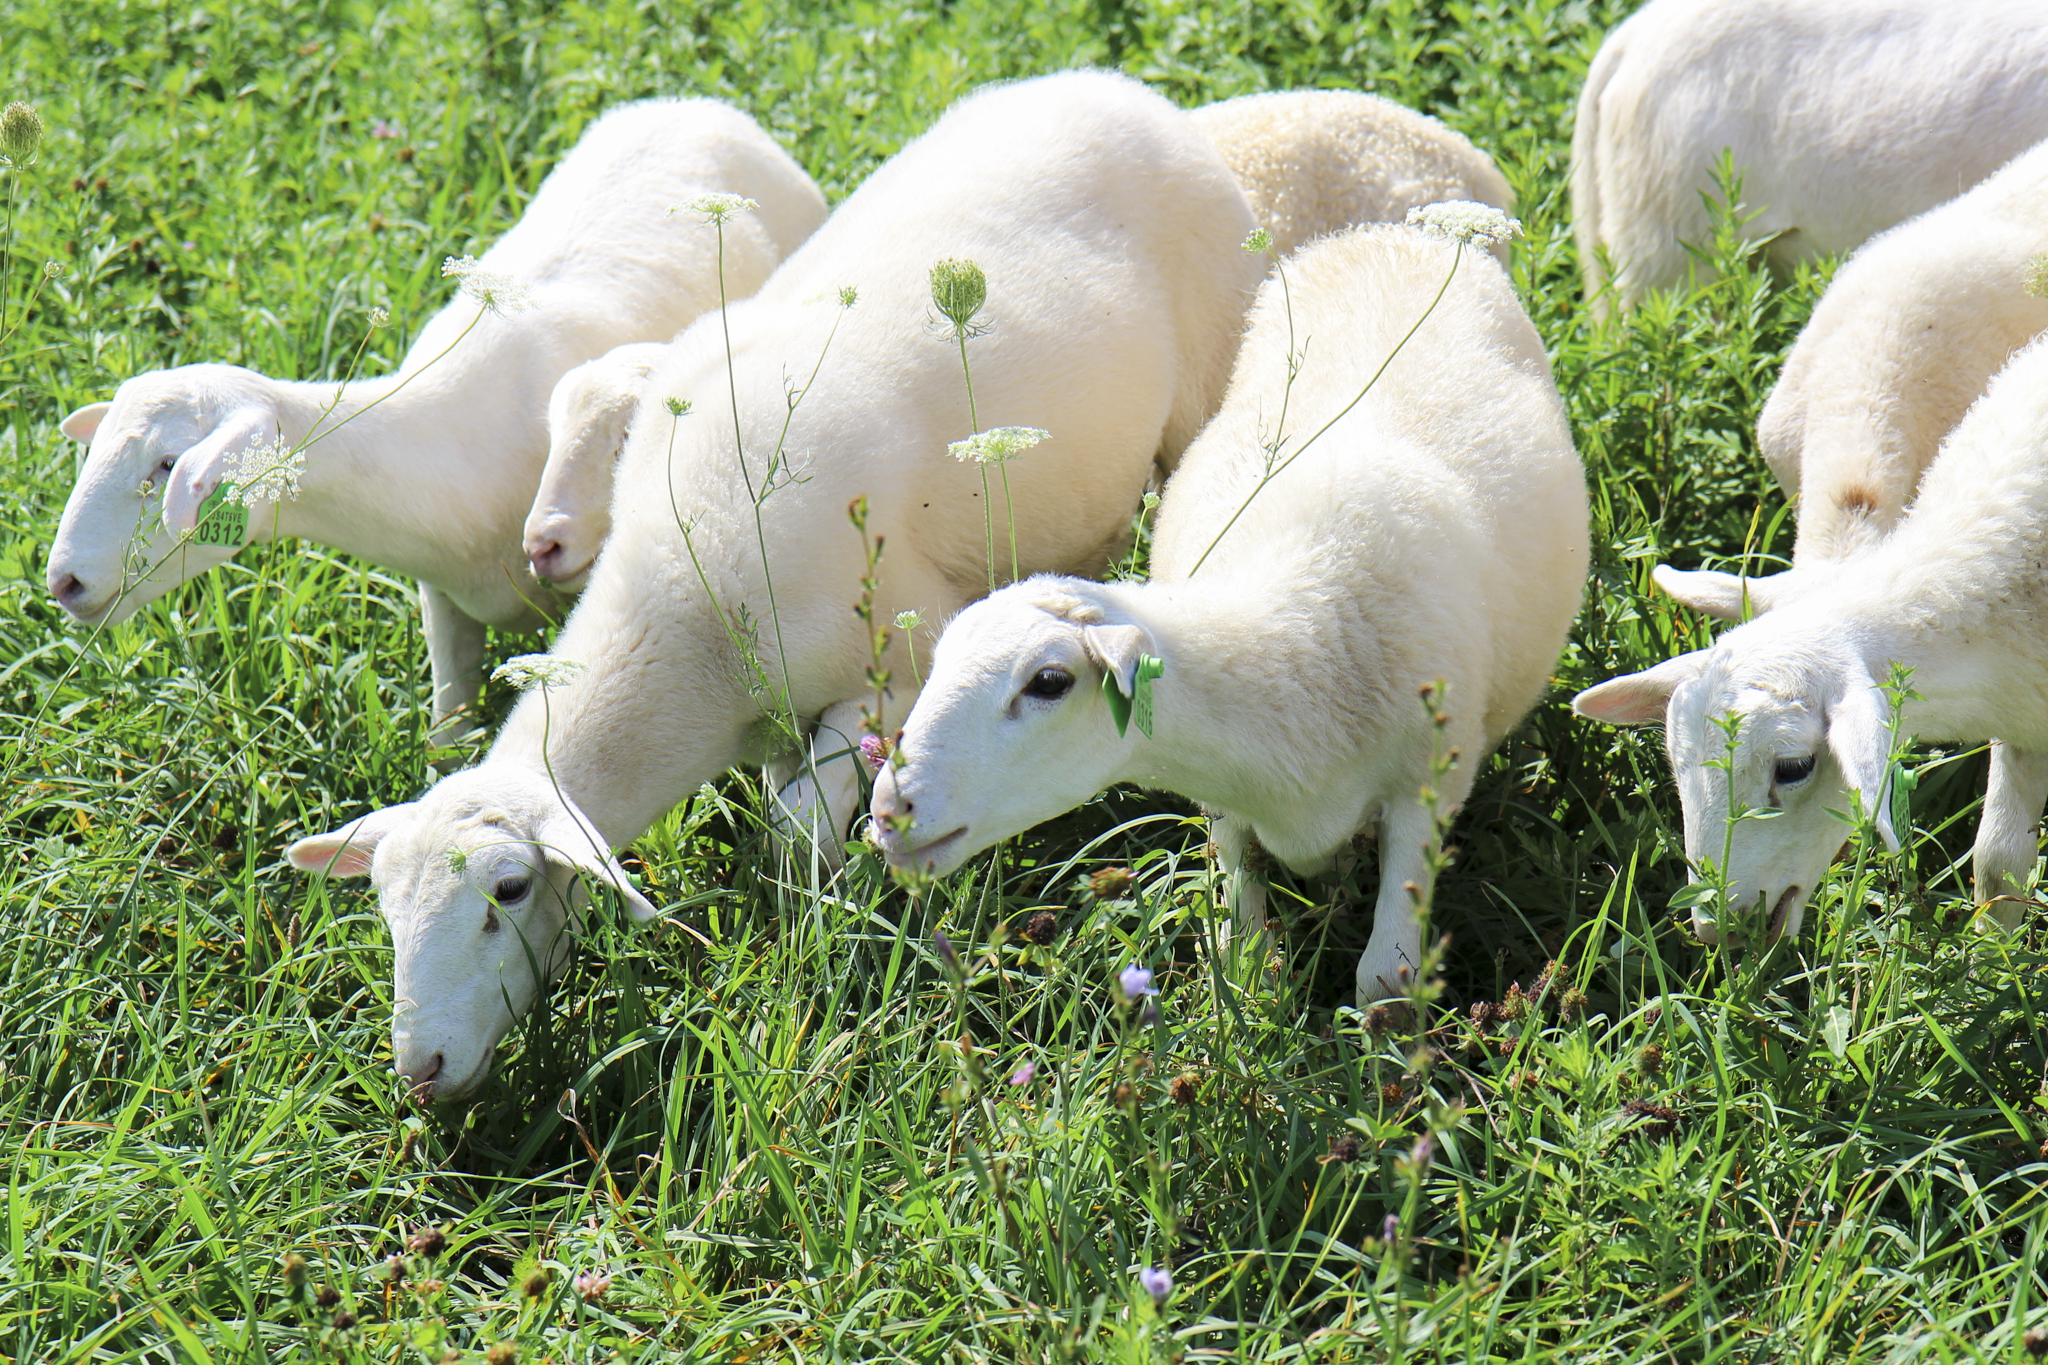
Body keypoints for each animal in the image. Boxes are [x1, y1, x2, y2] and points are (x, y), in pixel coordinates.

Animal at [871, 221, 1589, 1003]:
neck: (1295, 647)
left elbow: (1383, 981)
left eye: (1049, 683)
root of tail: (1391, 233)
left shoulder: (1428, 781)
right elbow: (1242, 936)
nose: (888, 810)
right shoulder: (1229, 800)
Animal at [1576, 331, 2048, 943]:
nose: (1720, 931)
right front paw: (1993, 952)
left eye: (1795, 768)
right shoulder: (2025, 718)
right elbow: (1998, 866)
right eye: (1677, 765)